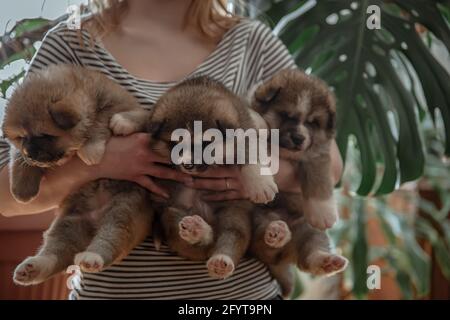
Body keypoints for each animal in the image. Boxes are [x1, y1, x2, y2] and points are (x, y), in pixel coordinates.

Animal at [1, 65, 154, 284]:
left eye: (46, 135)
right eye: (22, 137)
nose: (30, 154)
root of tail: (95, 219)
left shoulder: (119, 106)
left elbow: (100, 121)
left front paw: (93, 147)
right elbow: (17, 159)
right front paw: (21, 189)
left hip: (123, 211)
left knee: (109, 241)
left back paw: (92, 257)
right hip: (68, 224)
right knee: (56, 253)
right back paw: (32, 268)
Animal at [113, 76, 278, 278]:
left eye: (206, 143)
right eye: (175, 142)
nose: (188, 165)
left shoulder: (246, 130)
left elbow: (251, 151)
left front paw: (260, 183)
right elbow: (147, 115)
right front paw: (126, 120)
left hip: (235, 216)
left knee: (231, 236)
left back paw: (221, 258)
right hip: (170, 213)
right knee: (203, 238)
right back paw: (197, 230)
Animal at [250, 69, 348, 296]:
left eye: (313, 122)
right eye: (286, 115)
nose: (298, 138)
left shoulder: (317, 156)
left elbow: (319, 181)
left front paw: (324, 213)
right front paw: (257, 121)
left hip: (311, 232)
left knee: (310, 255)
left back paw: (327, 261)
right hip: (257, 219)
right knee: (263, 241)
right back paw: (277, 232)